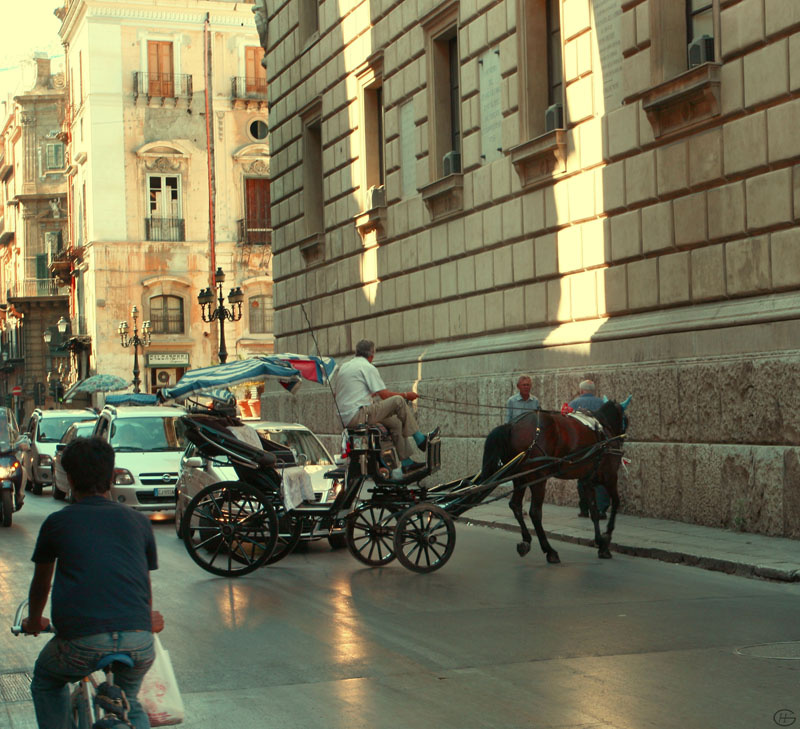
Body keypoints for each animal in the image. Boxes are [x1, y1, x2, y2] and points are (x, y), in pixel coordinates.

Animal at [480, 396, 631, 562]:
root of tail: (512, 425)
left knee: (515, 505)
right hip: (538, 478)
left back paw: (526, 540)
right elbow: (615, 503)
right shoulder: (610, 476)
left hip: (521, 478)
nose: (622, 440)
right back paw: (550, 550)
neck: (603, 428)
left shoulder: (587, 481)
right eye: (626, 420)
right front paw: (606, 539)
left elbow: (594, 511)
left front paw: (599, 541)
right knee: (535, 512)